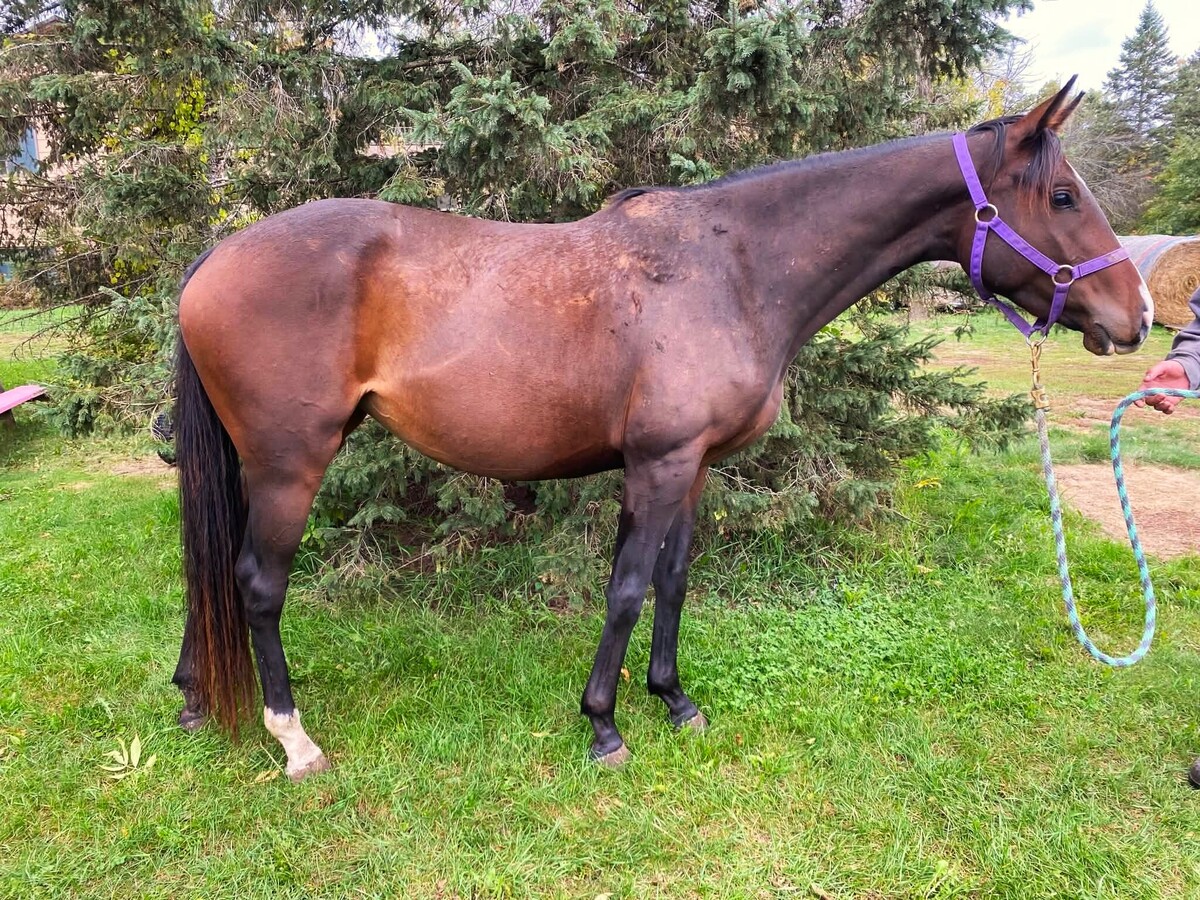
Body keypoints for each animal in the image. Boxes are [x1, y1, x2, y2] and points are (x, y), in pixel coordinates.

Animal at [171, 80, 1153, 781]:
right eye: (1063, 195)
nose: (1137, 314)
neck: (736, 267)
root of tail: (217, 254)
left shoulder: (696, 466)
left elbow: (675, 584)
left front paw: (673, 701)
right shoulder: (657, 463)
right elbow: (627, 589)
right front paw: (604, 726)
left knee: (209, 574)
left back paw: (193, 700)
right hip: (290, 463)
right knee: (256, 583)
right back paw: (294, 741)